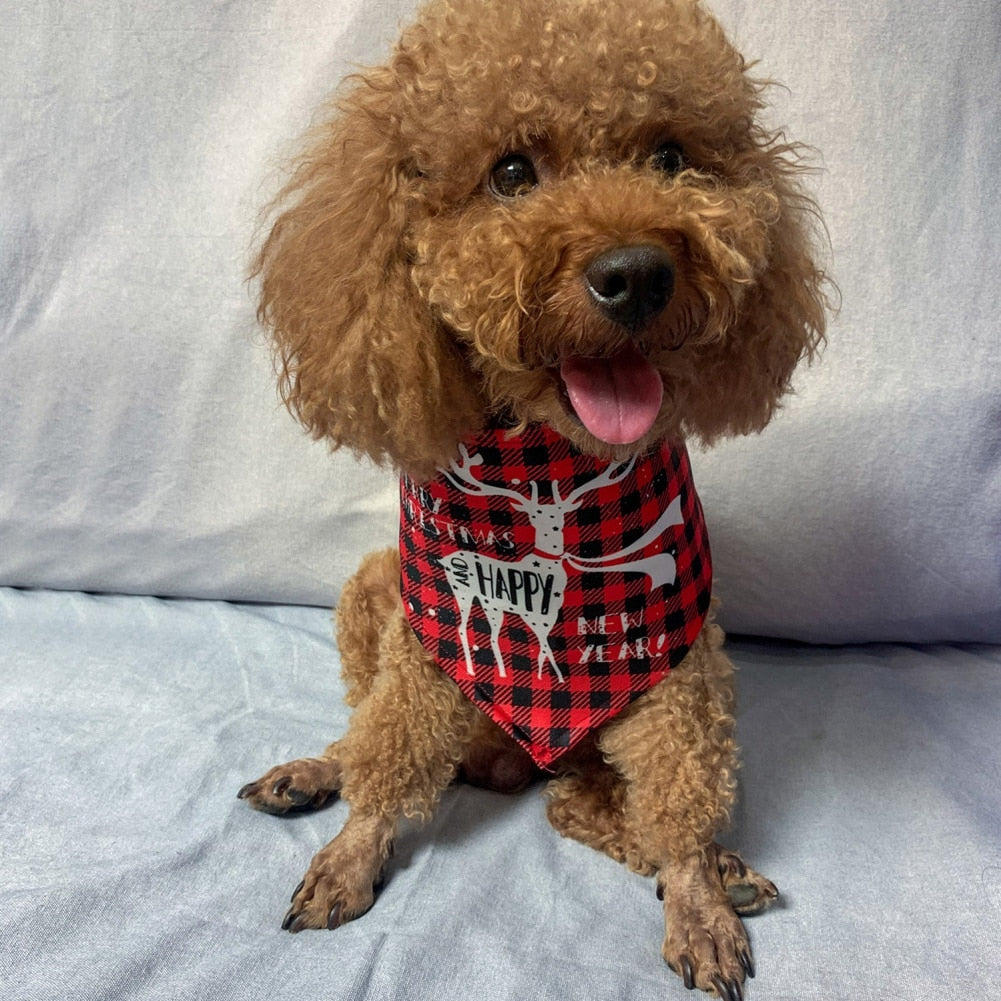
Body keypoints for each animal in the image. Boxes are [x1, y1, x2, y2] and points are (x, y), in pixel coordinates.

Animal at [238, 1, 824, 992]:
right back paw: (313, 771)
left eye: (670, 157)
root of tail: (507, 761)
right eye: (511, 172)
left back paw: (717, 868)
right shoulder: (427, 646)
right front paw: (352, 852)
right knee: (368, 735)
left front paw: (698, 895)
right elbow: (390, 751)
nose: (636, 272)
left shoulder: (676, 667)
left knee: (581, 804)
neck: (549, 460)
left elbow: (678, 790)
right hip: (375, 586)